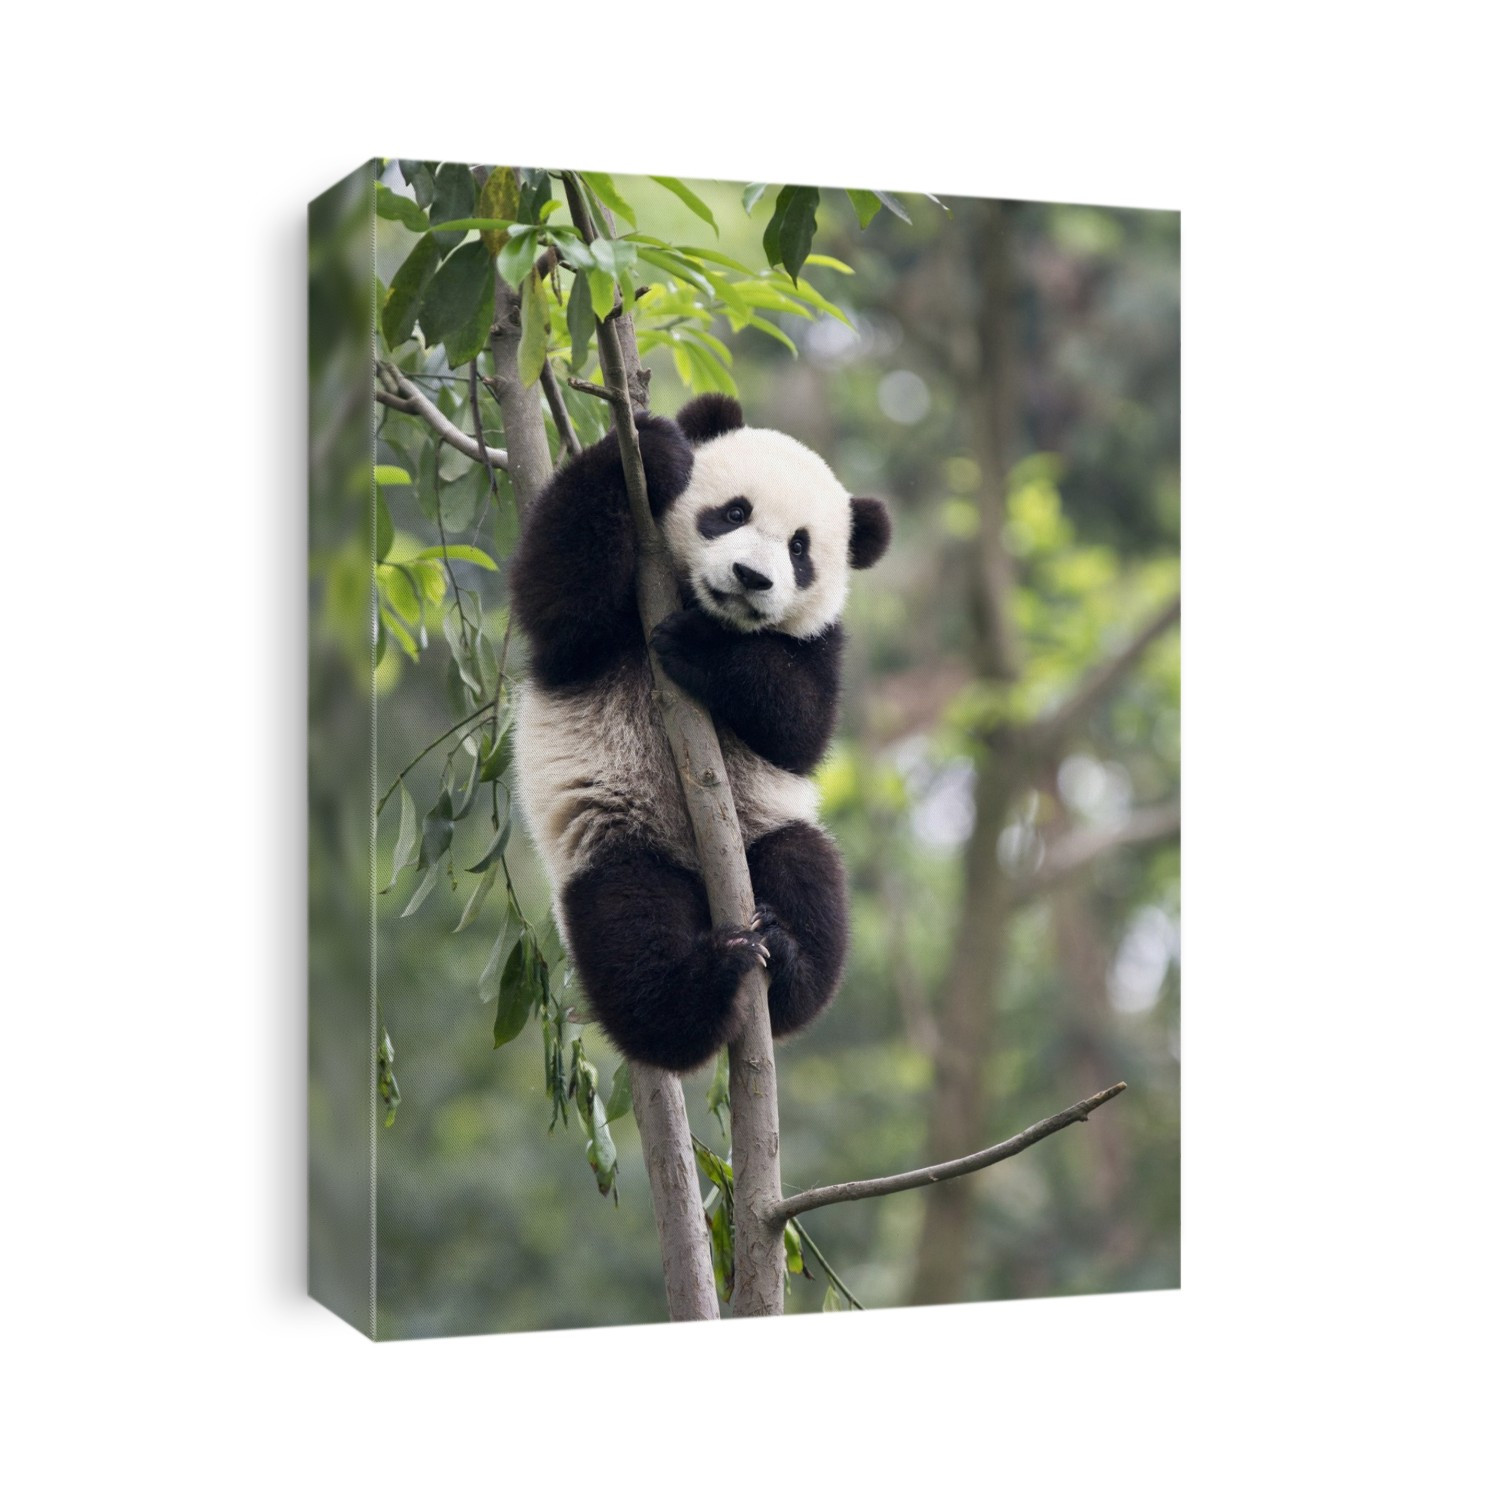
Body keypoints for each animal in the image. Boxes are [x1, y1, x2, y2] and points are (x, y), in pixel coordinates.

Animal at [510, 393, 891, 1074]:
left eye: (800, 549)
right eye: (734, 512)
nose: (751, 577)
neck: (694, 599)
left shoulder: (822, 644)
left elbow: (802, 728)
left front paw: (701, 647)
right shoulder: (597, 622)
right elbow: (555, 598)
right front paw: (650, 447)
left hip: (765, 828)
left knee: (808, 872)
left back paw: (783, 961)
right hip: (617, 844)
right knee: (629, 931)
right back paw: (704, 985)